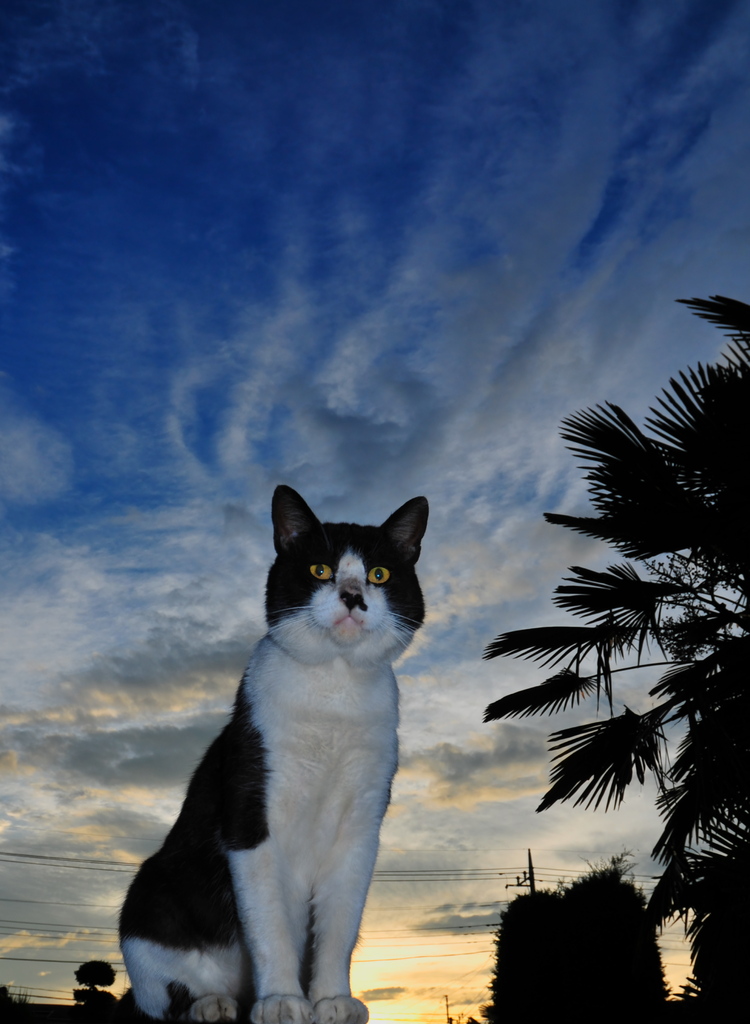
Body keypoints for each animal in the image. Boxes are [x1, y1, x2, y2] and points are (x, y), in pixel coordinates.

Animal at [121, 481, 428, 1024]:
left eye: (379, 574)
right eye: (320, 570)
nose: (353, 596)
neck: (333, 689)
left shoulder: (361, 829)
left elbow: (338, 926)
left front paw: (330, 999)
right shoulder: (249, 817)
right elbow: (270, 923)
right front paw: (283, 998)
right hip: (147, 895)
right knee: (162, 996)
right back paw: (213, 1004)